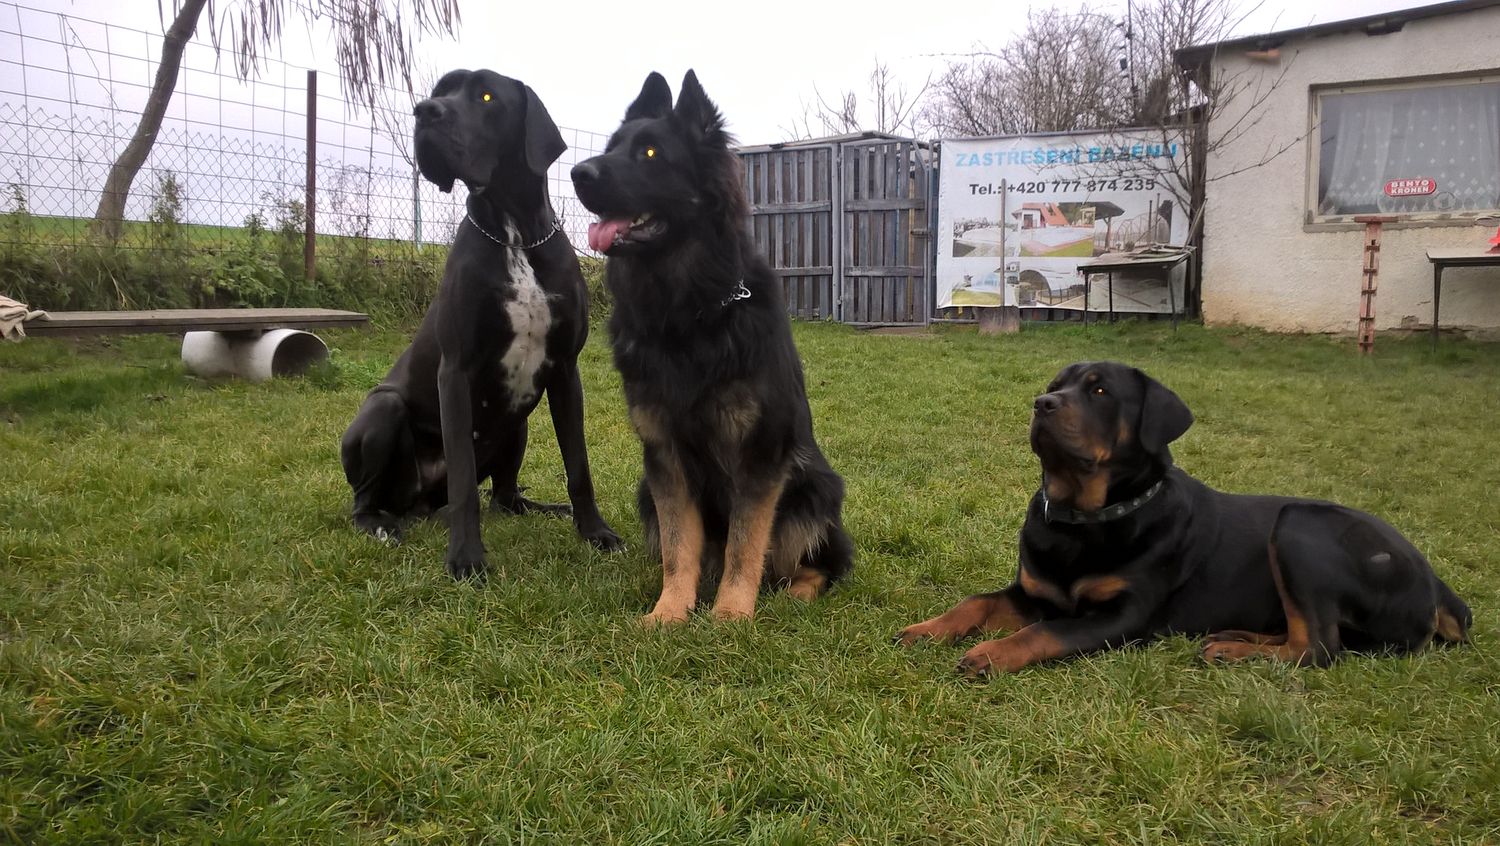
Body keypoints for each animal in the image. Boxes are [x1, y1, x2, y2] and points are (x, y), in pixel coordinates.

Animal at [340, 69, 621, 579]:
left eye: (486, 95)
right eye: (441, 91)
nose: (425, 111)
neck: (514, 233)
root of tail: (419, 504)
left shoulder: (565, 371)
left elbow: (579, 466)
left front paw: (595, 532)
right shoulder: (455, 370)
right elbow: (465, 482)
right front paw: (466, 557)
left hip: (519, 422)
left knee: (505, 497)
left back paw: (544, 508)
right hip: (383, 409)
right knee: (366, 499)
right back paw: (381, 525)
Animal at [568, 70, 853, 623]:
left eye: (651, 154)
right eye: (612, 148)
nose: (577, 173)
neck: (687, 314)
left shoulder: (759, 456)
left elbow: (746, 545)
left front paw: (729, 616)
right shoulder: (664, 458)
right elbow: (680, 546)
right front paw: (669, 612)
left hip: (814, 488)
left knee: (819, 566)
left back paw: (793, 597)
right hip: (645, 492)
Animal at [896, 361, 1471, 674]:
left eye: (1100, 390)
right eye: (1055, 383)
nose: (1042, 403)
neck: (1083, 519)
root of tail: (1438, 587)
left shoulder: (1121, 616)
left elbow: (1046, 632)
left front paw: (990, 654)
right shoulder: (1034, 592)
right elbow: (975, 602)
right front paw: (926, 630)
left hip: (1299, 526)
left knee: (1319, 648)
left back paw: (1236, 654)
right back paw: (1232, 641)